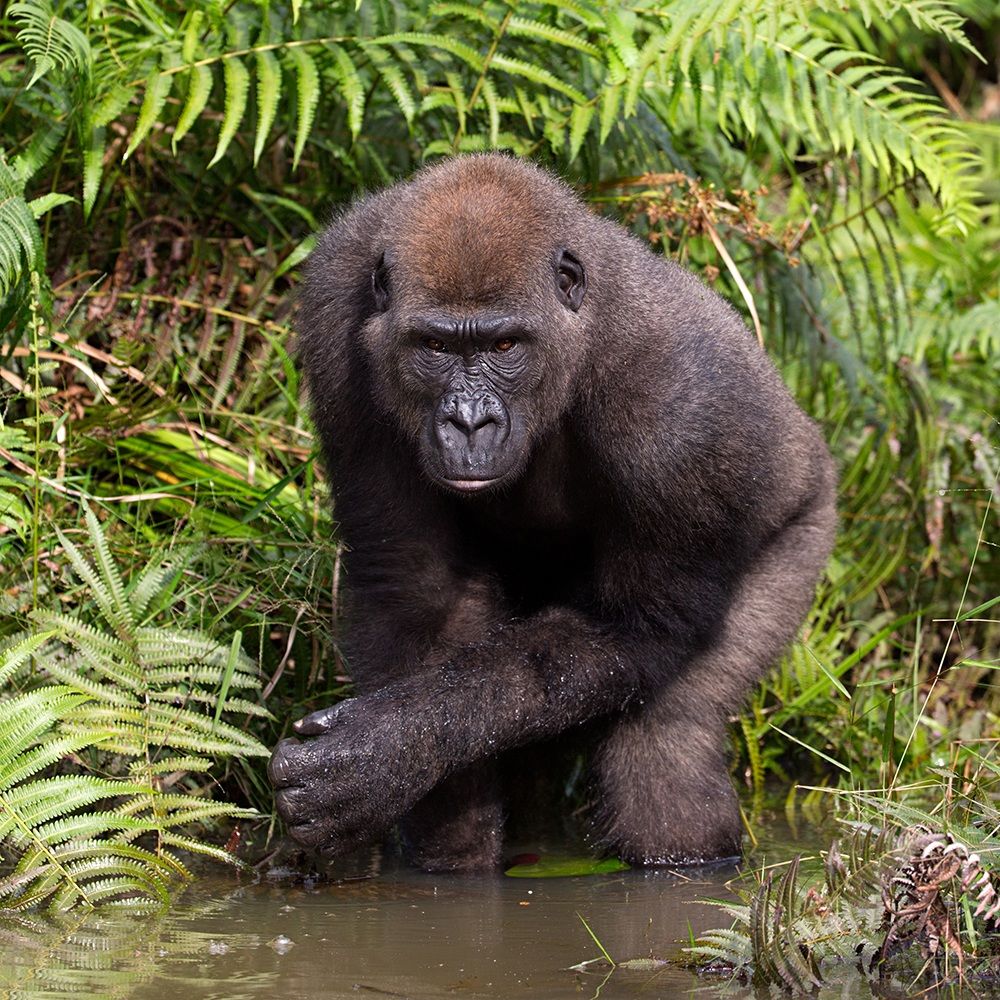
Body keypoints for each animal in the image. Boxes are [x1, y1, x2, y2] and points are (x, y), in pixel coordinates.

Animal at [267, 154, 837, 871]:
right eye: (435, 347)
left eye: (505, 346)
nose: (469, 422)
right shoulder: (334, 316)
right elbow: (419, 593)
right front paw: (415, 780)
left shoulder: (683, 415)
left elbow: (636, 626)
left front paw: (383, 751)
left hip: (805, 534)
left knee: (665, 748)